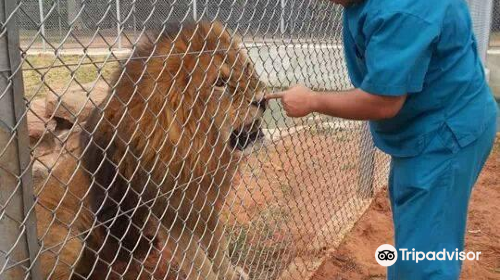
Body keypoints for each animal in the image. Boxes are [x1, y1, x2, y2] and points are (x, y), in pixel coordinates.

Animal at [35, 21, 268, 280]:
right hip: (69, 243)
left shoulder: (204, 207)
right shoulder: (171, 220)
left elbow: (220, 249)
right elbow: (202, 266)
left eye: (247, 68)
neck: (196, 149)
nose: (264, 100)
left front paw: (231, 273)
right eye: (219, 83)